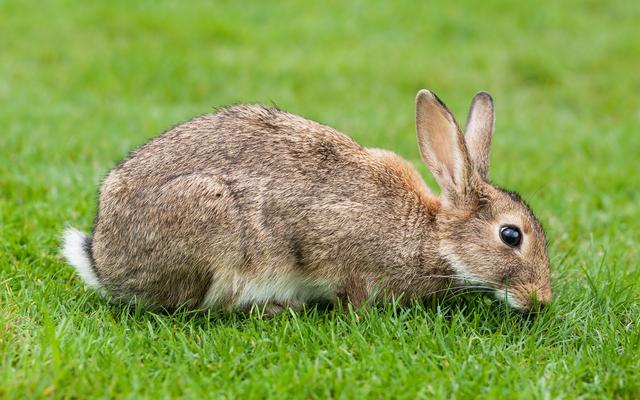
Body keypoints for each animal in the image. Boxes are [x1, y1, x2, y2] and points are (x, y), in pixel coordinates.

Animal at [62, 90, 551, 313]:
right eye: (511, 235)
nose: (542, 299)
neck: (433, 235)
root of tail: (103, 260)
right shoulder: (335, 244)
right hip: (210, 227)